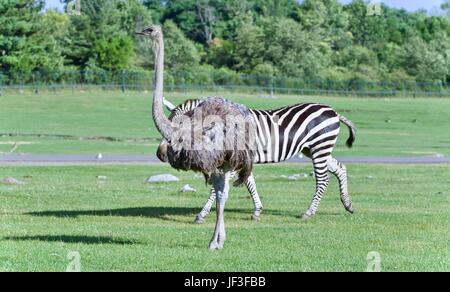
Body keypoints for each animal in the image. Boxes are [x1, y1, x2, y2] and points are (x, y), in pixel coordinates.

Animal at [160, 97, 356, 220]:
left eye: (179, 128)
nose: (160, 154)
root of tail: (334, 111)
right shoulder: (243, 160)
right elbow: (249, 183)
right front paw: (257, 211)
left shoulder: (233, 160)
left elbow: (218, 188)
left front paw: (202, 214)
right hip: (313, 149)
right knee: (340, 168)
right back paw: (348, 204)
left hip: (319, 147)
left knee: (323, 179)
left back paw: (309, 212)